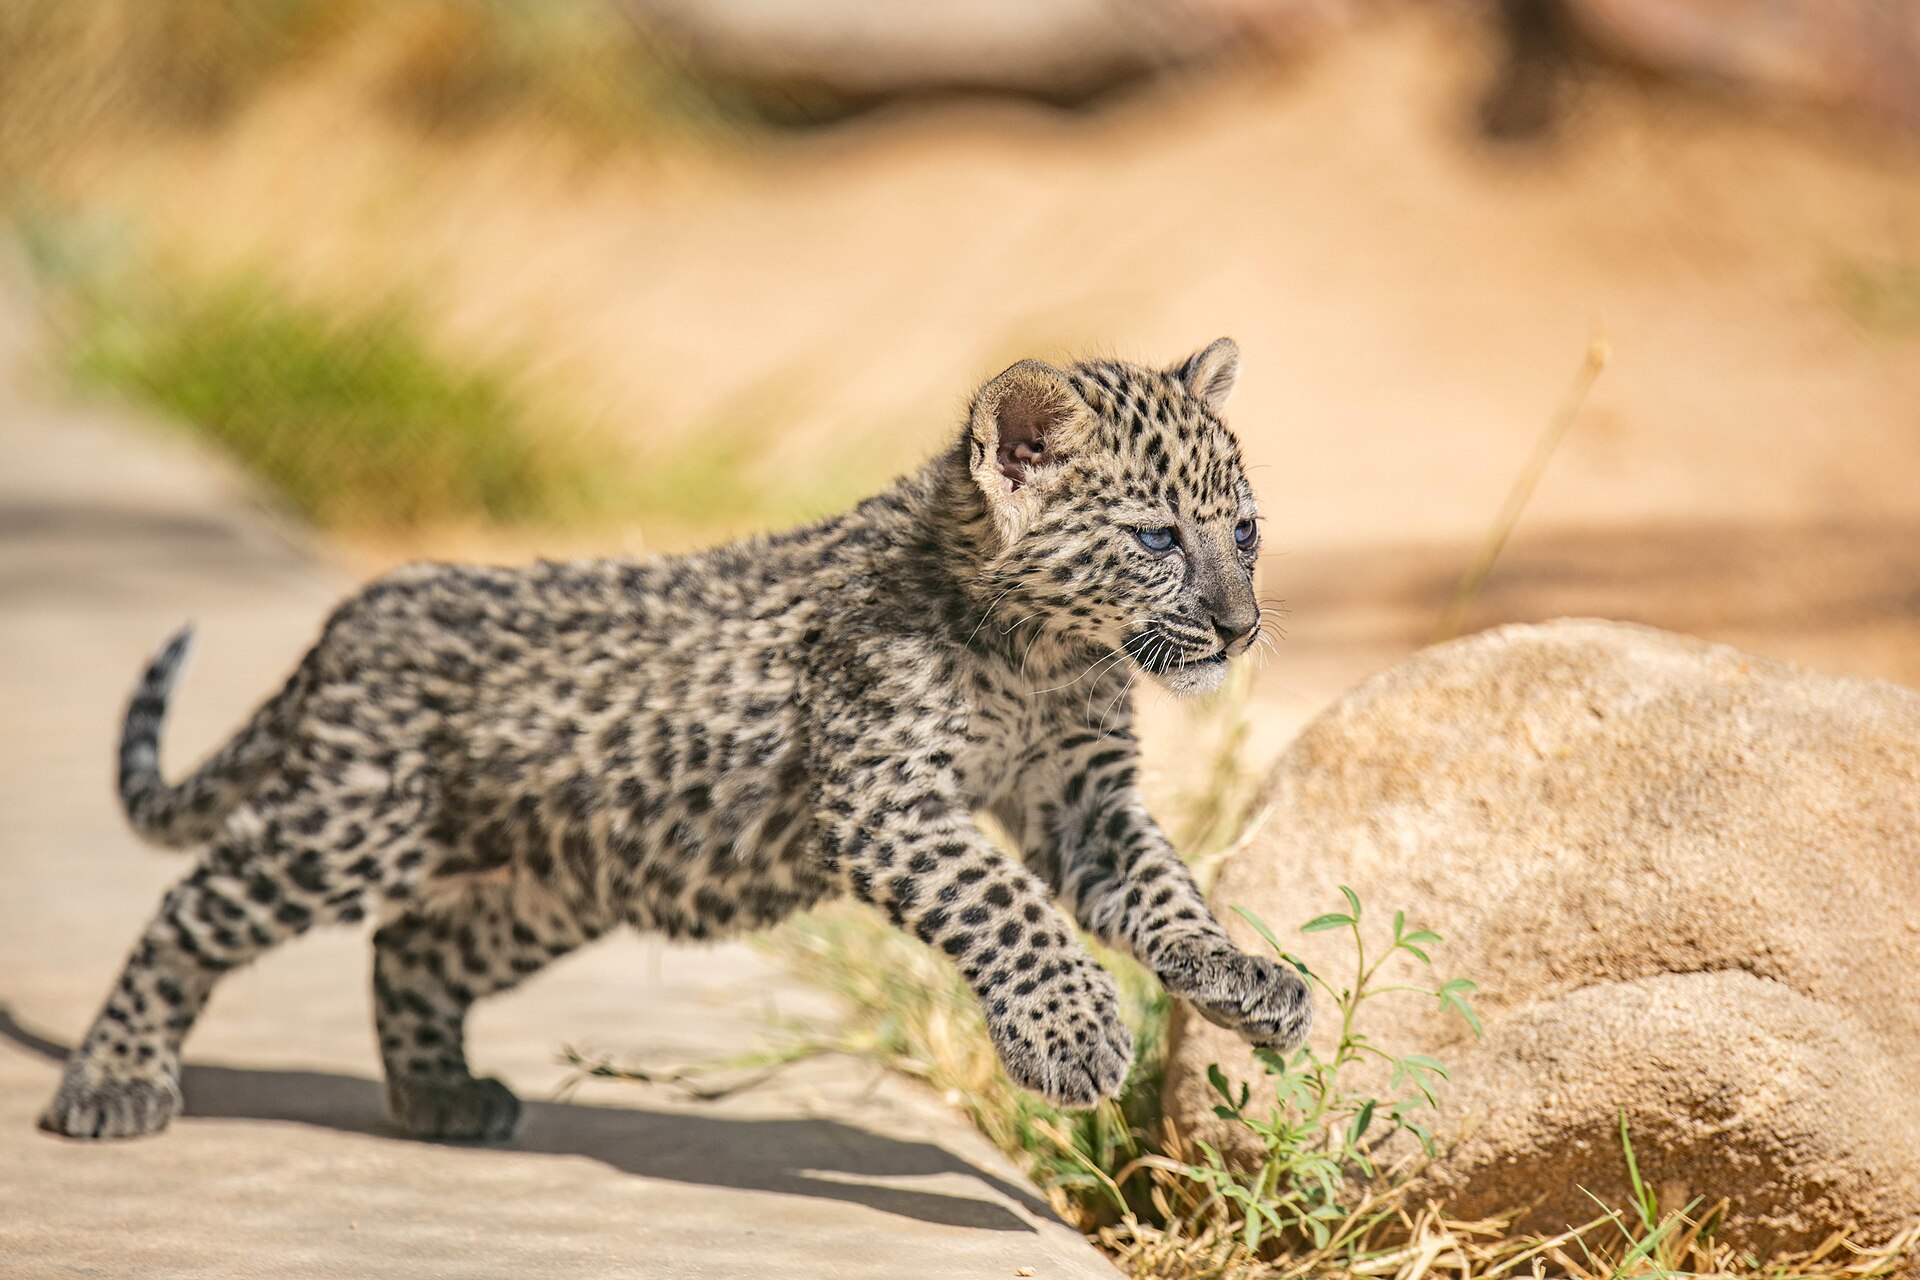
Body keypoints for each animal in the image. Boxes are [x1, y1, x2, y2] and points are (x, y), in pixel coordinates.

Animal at [41, 337, 1311, 1143]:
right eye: (1156, 538)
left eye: (1245, 531)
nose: (1240, 626)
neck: (1046, 648)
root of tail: (353, 614)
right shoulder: (889, 798)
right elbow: (1005, 902)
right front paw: (1077, 1029)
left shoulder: (1083, 799)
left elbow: (1161, 885)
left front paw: (1239, 974)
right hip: (345, 825)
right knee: (191, 911)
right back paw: (110, 1085)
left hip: (545, 886)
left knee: (411, 947)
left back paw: (442, 1098)